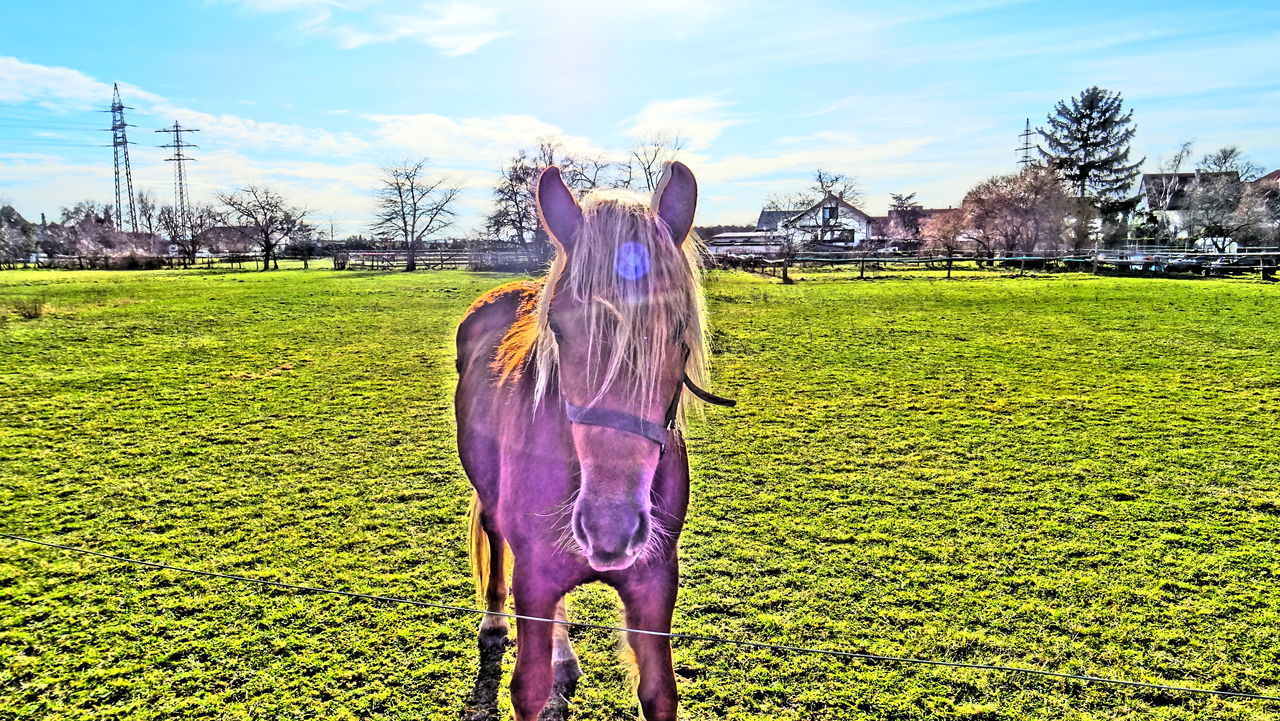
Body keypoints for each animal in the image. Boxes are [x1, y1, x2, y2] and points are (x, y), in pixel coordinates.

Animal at [453, 160, 732, 717]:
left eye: (679, 331)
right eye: (558, 329)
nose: (610, 526)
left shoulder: (654, 583)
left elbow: (658, 691)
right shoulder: (535, 579)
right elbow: (529, 686)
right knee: (494, 537)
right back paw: (494, 622)